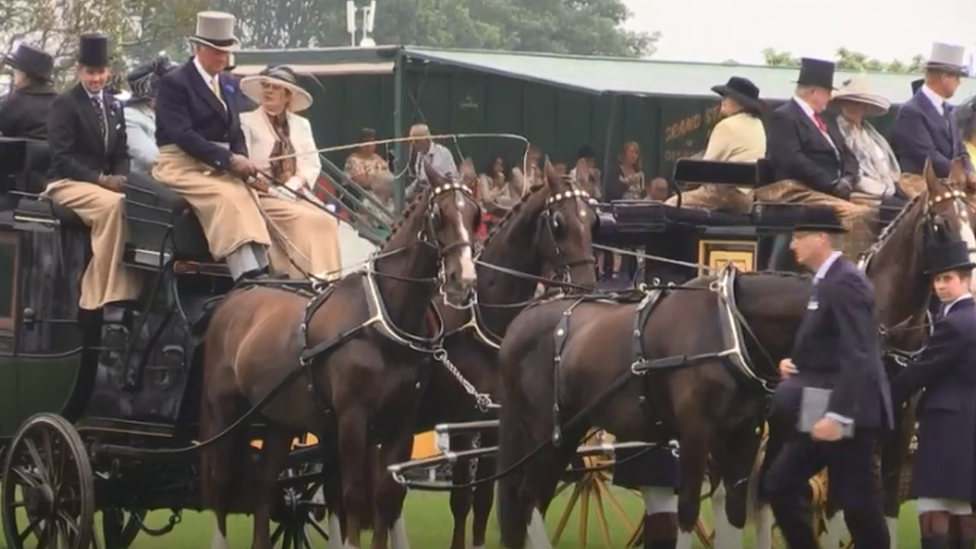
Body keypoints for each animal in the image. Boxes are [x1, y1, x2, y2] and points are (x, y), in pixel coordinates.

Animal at [200, 166, 482, 548]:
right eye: (439, 214)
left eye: (475, 215)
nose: (463, 279)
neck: (383, 320)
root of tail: (236, 295)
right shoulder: (352, 418)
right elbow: (353, 496)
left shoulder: (400, 421)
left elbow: (385, 499)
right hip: (224, 412)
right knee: (220, 486)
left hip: (278, 421)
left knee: (264, 487)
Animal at [370, 164, 600, 548]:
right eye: (558, 222)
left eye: (594, 220)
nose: (588, 285)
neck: (482, 319)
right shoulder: (463, 423)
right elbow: (462, 499)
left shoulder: (494, 424)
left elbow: (483, 503)